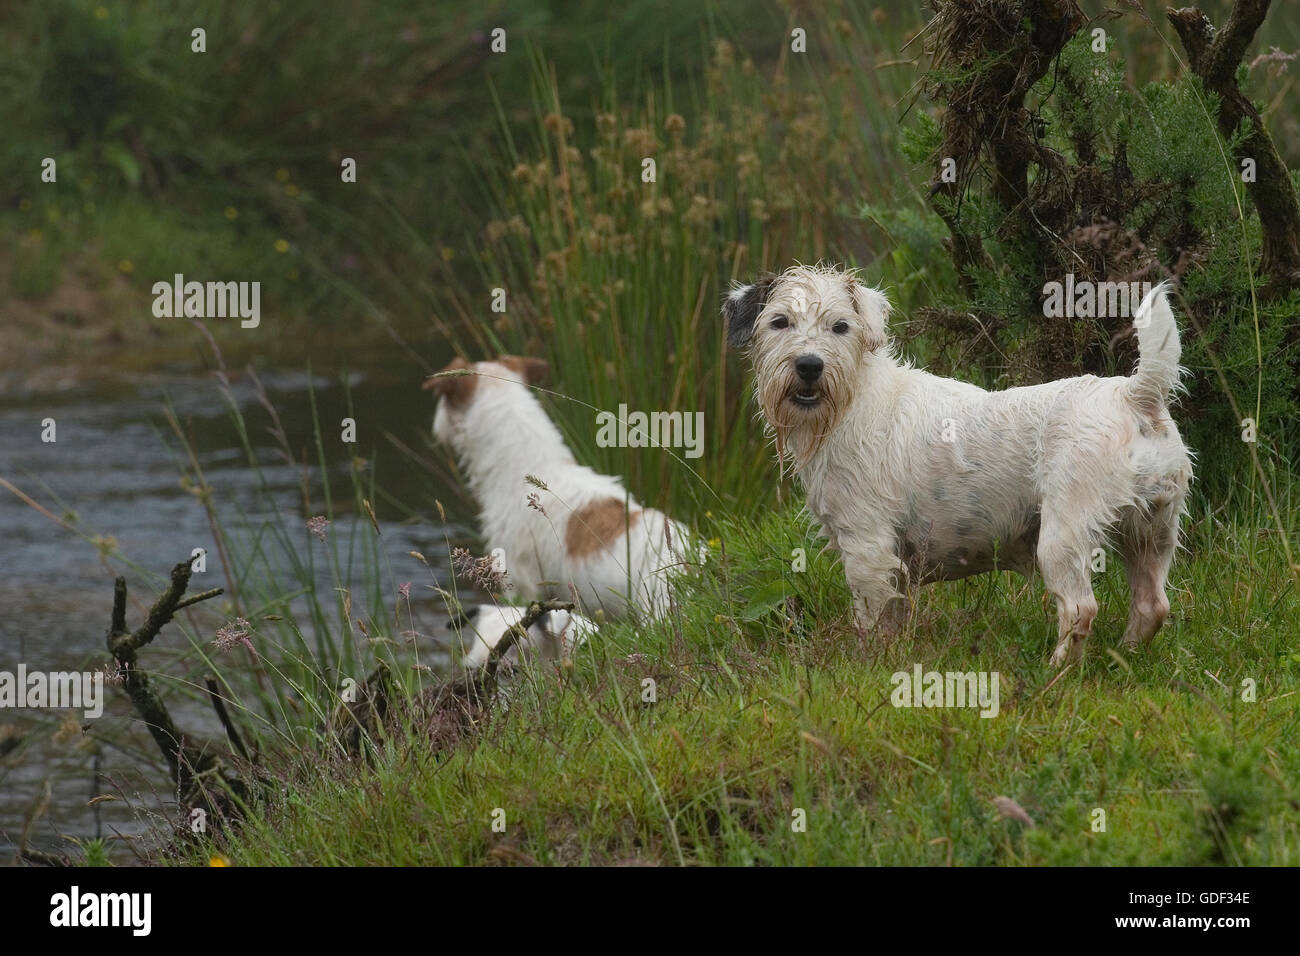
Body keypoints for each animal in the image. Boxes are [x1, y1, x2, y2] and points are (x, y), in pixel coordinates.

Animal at [728, 264, 1190, 665]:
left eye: (840, 326)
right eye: (779, 322)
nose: (809, 365)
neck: (850, 398)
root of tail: (1135, 394)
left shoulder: (866, 548)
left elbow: (871, 621)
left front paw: (865, 666)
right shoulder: (894, 563)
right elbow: (894, 617)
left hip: (1064, 536)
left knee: (1080, 609)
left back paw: (1057, 671)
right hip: (1152, 532)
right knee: (1152, 605)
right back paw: (1124, 656)